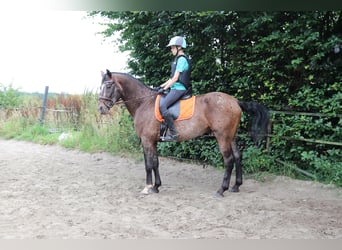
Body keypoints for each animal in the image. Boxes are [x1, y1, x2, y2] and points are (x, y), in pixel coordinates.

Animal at [97, 69, 270, 196]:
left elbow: (148, 164)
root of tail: (235, 101)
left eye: (109, 85)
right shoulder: (153, 141)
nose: (100, 108)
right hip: (231, 136)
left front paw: (147, 187)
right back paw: (236, 186)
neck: (143, 102)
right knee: (238, 156)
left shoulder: (146, 140)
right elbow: (155, 163)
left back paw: (222, 190)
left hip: (222, 136)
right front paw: (156, 186)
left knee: (228, 160)